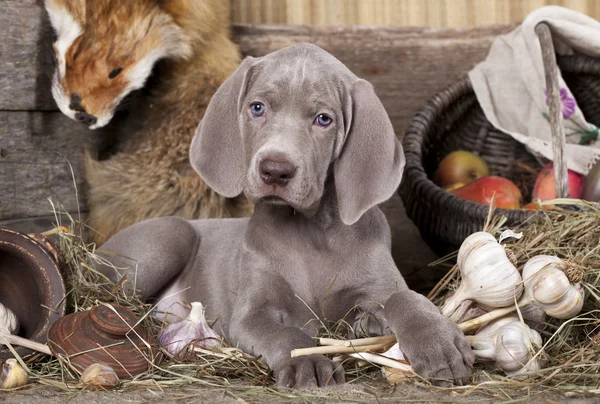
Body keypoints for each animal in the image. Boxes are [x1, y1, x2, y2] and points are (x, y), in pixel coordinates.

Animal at [97, 43, 474, 388]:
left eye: (323, 119)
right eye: (257, 108)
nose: (275, 170)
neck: (311, 231)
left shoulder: (376, 287)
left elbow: (405, 297)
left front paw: (438, 341)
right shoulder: (250, 314)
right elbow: (285, 336)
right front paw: (307, 362)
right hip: (169, 237)